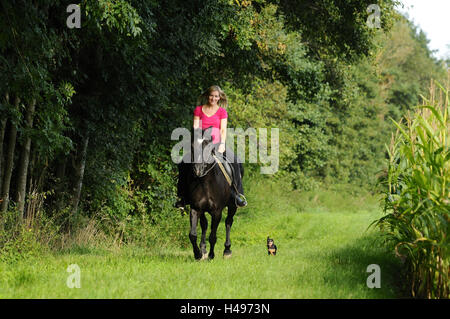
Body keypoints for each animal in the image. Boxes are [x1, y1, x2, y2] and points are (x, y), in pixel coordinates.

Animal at [182, 127, 241, 260]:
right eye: (192, 146)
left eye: (208, 148)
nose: (198, 169)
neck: (205, 183)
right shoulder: (195, 208)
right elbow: (192, 234)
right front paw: (198, 254)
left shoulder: (217, 211)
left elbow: (213, 236)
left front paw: (211, 255)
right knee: (204, 224)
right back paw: (203, 249)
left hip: (232, 206)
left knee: (228, 222)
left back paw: (227, 250)